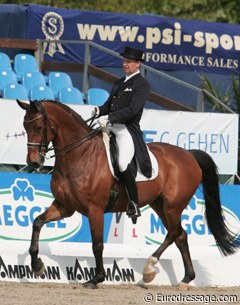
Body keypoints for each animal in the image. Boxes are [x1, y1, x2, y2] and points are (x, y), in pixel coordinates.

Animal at [16, 99, 238, 288]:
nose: (33, 162)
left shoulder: (94, 210)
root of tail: (189, 154)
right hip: (160, 205)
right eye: (25, 127)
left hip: (173, 206)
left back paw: (149, 269)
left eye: (38, 127)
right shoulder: (65, 207)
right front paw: (36, 265)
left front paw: (96, 278)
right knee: (180, 235)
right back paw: (185, 279)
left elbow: (97, 244)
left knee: (174, 233)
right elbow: (37, 222)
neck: (80, 155)